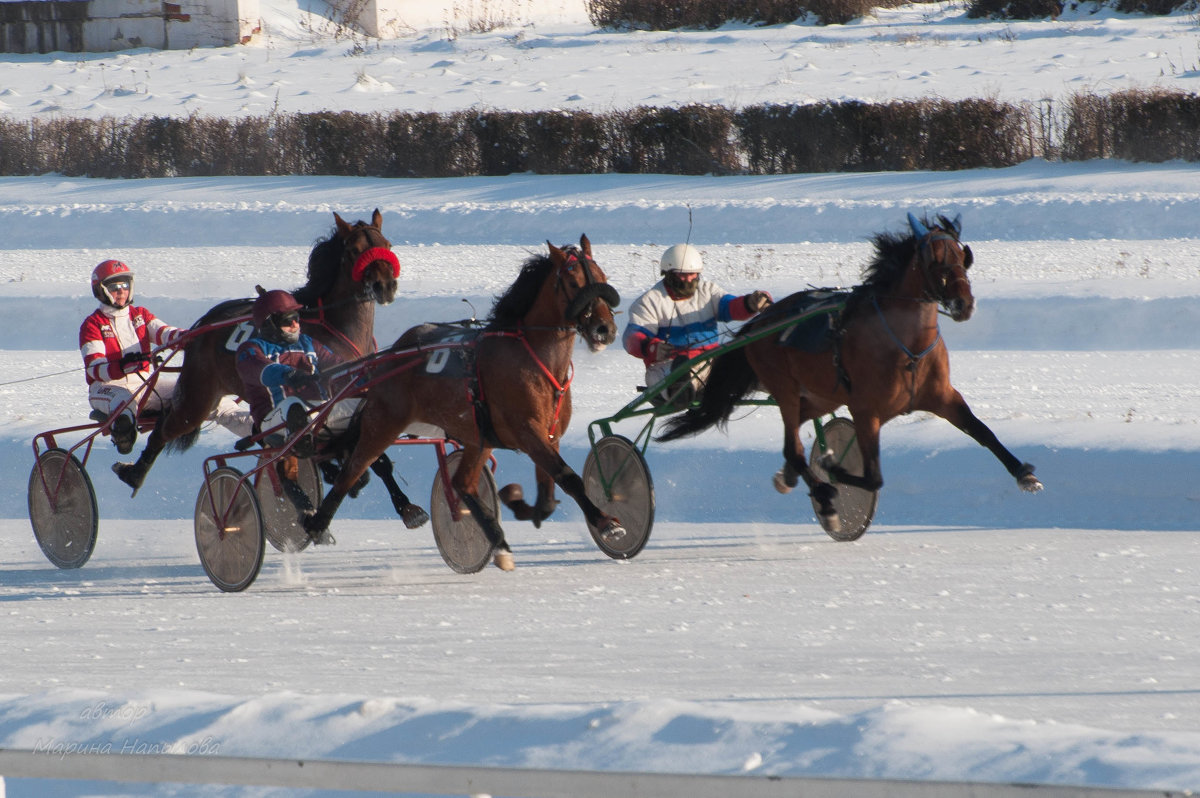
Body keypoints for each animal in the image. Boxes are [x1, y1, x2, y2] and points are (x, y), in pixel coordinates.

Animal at [110, 208, 427, 525]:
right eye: (353, 250)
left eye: (387, 245)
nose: (385, 286)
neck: (337, 329)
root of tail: (203, 325)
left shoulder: (358, 401)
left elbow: (373, 455)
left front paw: (405, 506)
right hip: (197, 398)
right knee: (165, 428)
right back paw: (134, 473)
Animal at [302, 234, 628, 568]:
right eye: (574, 283)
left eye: (602, 277)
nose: (605, 328)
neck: (532, 357)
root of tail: (392, 354)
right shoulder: (528, 432)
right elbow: (568, 477)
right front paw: (607, 523)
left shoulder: (548, 436)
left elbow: (549, 496)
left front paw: (524, 507)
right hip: (383, 423)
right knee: (352, 471)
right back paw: (315, 524)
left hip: (476, 438)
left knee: (462, 483)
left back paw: (498, 542)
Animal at [657, 214, 1041, 532]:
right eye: (934, 258)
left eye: (963, 256)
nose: (964, 304)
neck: (906, 347)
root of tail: (762, 322)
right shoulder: (866, 410)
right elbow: (873, 477)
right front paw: (834, 468)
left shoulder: (943, 397)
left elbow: (982, 431)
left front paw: (1024, 473)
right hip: (784, 387)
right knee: (794, 447)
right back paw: (824, 497)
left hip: (821, 395)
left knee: (795, 438)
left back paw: (790, 477)